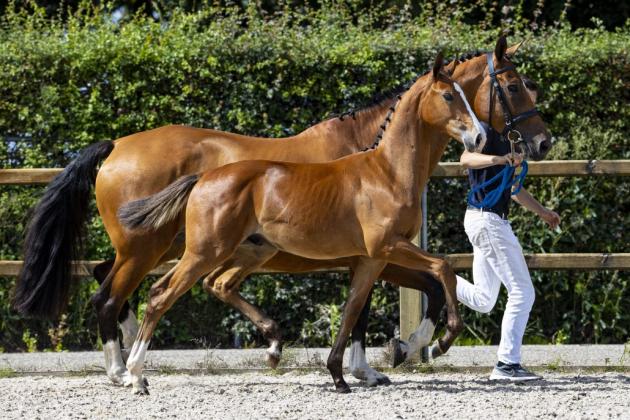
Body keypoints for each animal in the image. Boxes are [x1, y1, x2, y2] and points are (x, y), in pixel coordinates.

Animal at [122, 55, 488, 394]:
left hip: (251, 251)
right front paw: (440, 342)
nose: (479, 137)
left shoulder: (371, 259)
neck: (387, 173)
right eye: (448, 96)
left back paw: (271, 348)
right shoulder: (387, 245)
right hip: (204, 252)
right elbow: (442, 268)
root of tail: (203, 177)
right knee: (160, 294)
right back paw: (135, 376)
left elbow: (353, 309)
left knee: (215, 284)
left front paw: (340, 376)